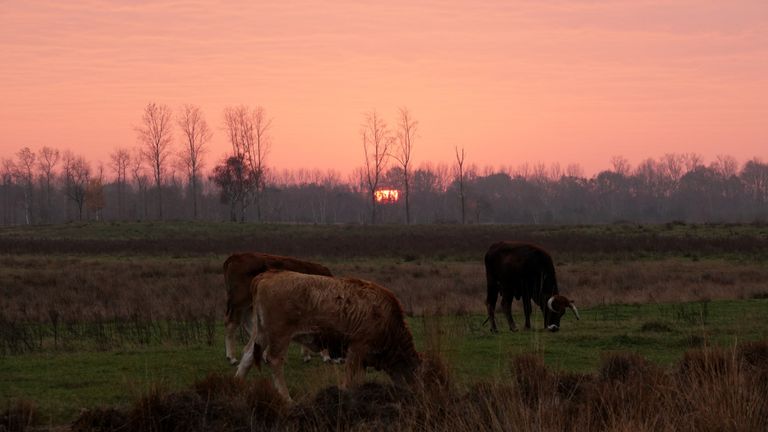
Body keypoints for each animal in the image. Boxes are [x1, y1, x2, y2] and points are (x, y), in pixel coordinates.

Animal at [237, 270, 424, 402]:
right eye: (414, 371)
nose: (416, 392)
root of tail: (267, 276)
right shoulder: (357, 349)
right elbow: (349, 378)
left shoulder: (361, 358)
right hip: (280, 336)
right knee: (274, 360)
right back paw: (287, 398)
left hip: (261, 333)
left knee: (248, 355)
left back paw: (236, 385)